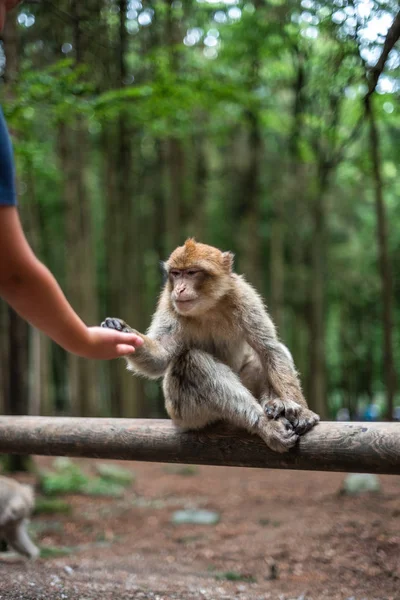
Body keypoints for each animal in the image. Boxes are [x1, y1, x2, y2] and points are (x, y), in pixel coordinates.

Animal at [102, 238, 318, 450]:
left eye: (191, 273)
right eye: (176, 274)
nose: (179, 289)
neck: (208, 307)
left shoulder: (244, 295)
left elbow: (269, 350)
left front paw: (301, 412)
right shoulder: (168, 302)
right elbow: (159, 359)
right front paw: (121, 331)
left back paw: (278, 405)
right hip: (185, 413)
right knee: (192, 361)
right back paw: (265, 424)